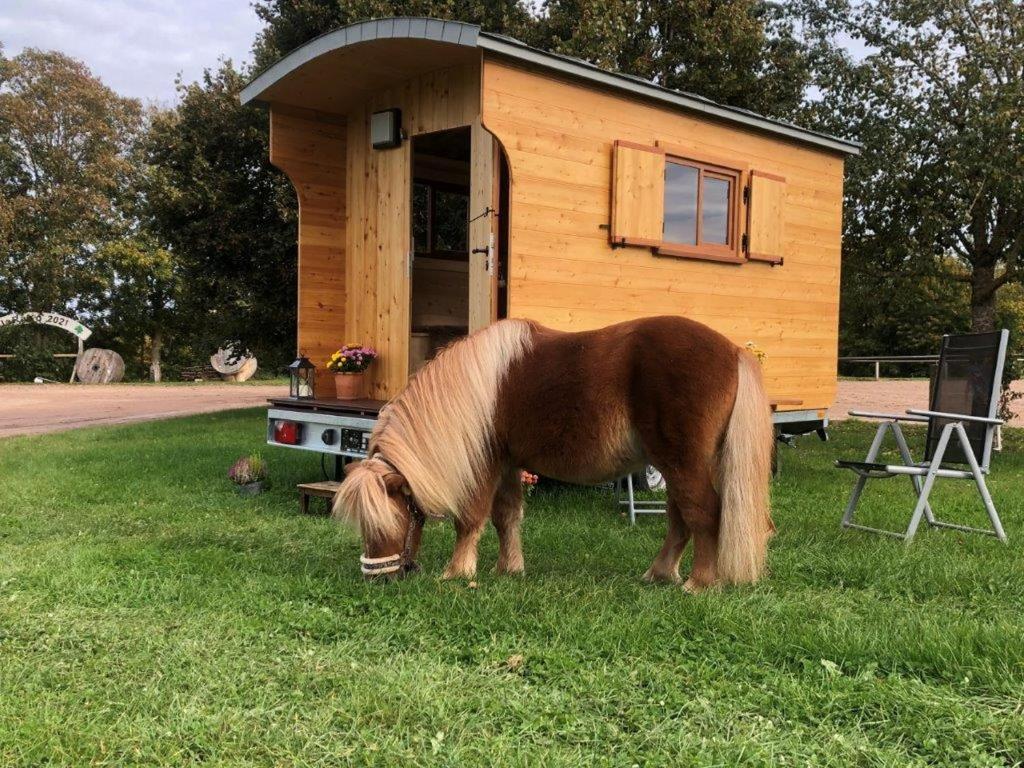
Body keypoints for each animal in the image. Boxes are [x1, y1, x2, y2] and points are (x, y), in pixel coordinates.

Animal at [331, 315, 770, 593]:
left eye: (387, 520)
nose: (379, 577)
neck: (479, 389)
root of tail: (733, 351)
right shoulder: (508, 463)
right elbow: (506, 517)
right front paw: (508, 569)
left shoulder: (485, 463)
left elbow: (471, 518)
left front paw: (456, 572)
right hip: (676, 465)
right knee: (681, 519)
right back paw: (660, 574)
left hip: (683, 463)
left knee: (703, 514)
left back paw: (699, 584)